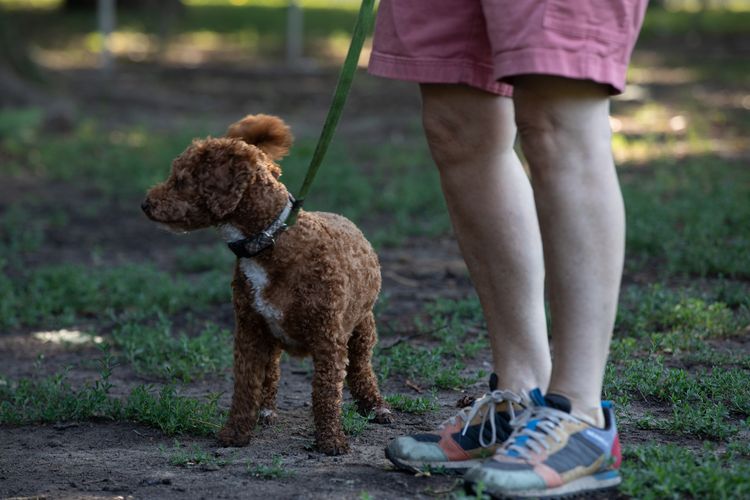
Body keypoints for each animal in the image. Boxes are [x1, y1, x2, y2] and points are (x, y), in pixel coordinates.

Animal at [143, 113, 396, 454]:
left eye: (181, 180)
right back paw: (265, 410)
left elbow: (326, 392)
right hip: (272, 337)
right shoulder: (249, 331)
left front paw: (331, 440)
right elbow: (246, 386)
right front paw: (235, 433)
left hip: (362, 327)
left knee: (361, 368)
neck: (269, 241)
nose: (145, 204)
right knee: (271, 374)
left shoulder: (328, 337)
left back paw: (375, 407)